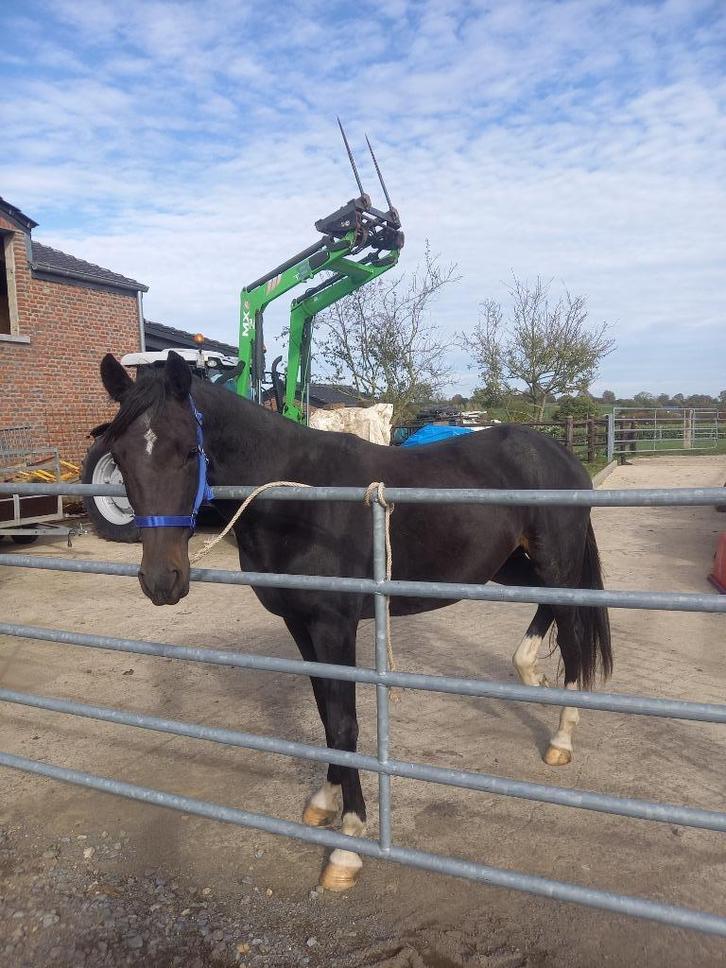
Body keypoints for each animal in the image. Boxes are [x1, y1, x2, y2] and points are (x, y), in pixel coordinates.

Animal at [98, 351, 612, 891]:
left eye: (189, 450)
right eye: (120, 457)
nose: (163, 581)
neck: (297, 498)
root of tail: (559, 453)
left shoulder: (333, 626)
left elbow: (345, 723)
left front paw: (348, 844)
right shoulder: (300, 625)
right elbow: (327, 714)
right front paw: (325, 801)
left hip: (557, 565)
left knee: (574, 636)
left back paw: (561, 736)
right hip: (511, 566)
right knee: (547, 609)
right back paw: (530, 671)